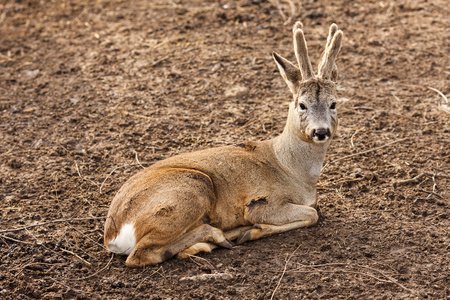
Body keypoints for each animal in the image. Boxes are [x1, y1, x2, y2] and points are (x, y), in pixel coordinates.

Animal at [103, 22, 342, 268]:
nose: (320, 131)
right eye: (302, 104)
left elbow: (314, 211)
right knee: (139, 254)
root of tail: (112, 236)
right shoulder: (264, 202)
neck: (292, 170)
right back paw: (217, 236)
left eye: (333, 103)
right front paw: (252, 230)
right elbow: (312, 215)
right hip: (192, 187)